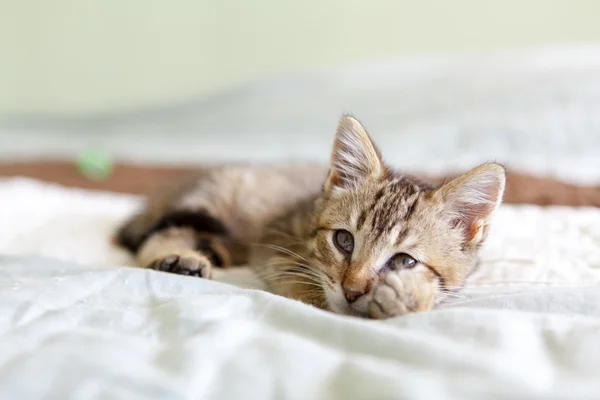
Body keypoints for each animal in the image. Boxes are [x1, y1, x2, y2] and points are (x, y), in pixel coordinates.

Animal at [115, 115, 504, 318]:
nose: (352, 291)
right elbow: (299, 279)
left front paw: (406, 298)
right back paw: (178, 258)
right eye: (344, 240)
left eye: (404, 262)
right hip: (215, 195)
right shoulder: (275, 239)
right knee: (161, 231)